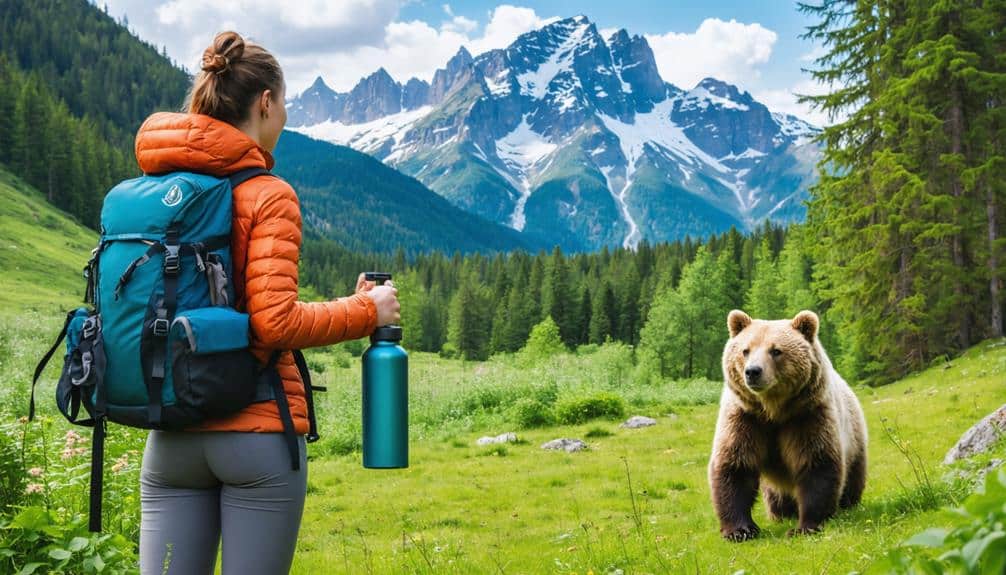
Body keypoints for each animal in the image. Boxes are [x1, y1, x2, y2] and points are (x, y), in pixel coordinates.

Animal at [708, 309, 867, 541]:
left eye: (776, 351)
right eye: (745, 350)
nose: (753, 371)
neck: (773, 410)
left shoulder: (807, 415)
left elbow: (817, 464)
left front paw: (806, 526)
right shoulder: (745, 418)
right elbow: (735, 465)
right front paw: (740, 530)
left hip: (854, 437)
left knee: (853, 474)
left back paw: (847, 503)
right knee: (776, 494)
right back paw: (782, 512)